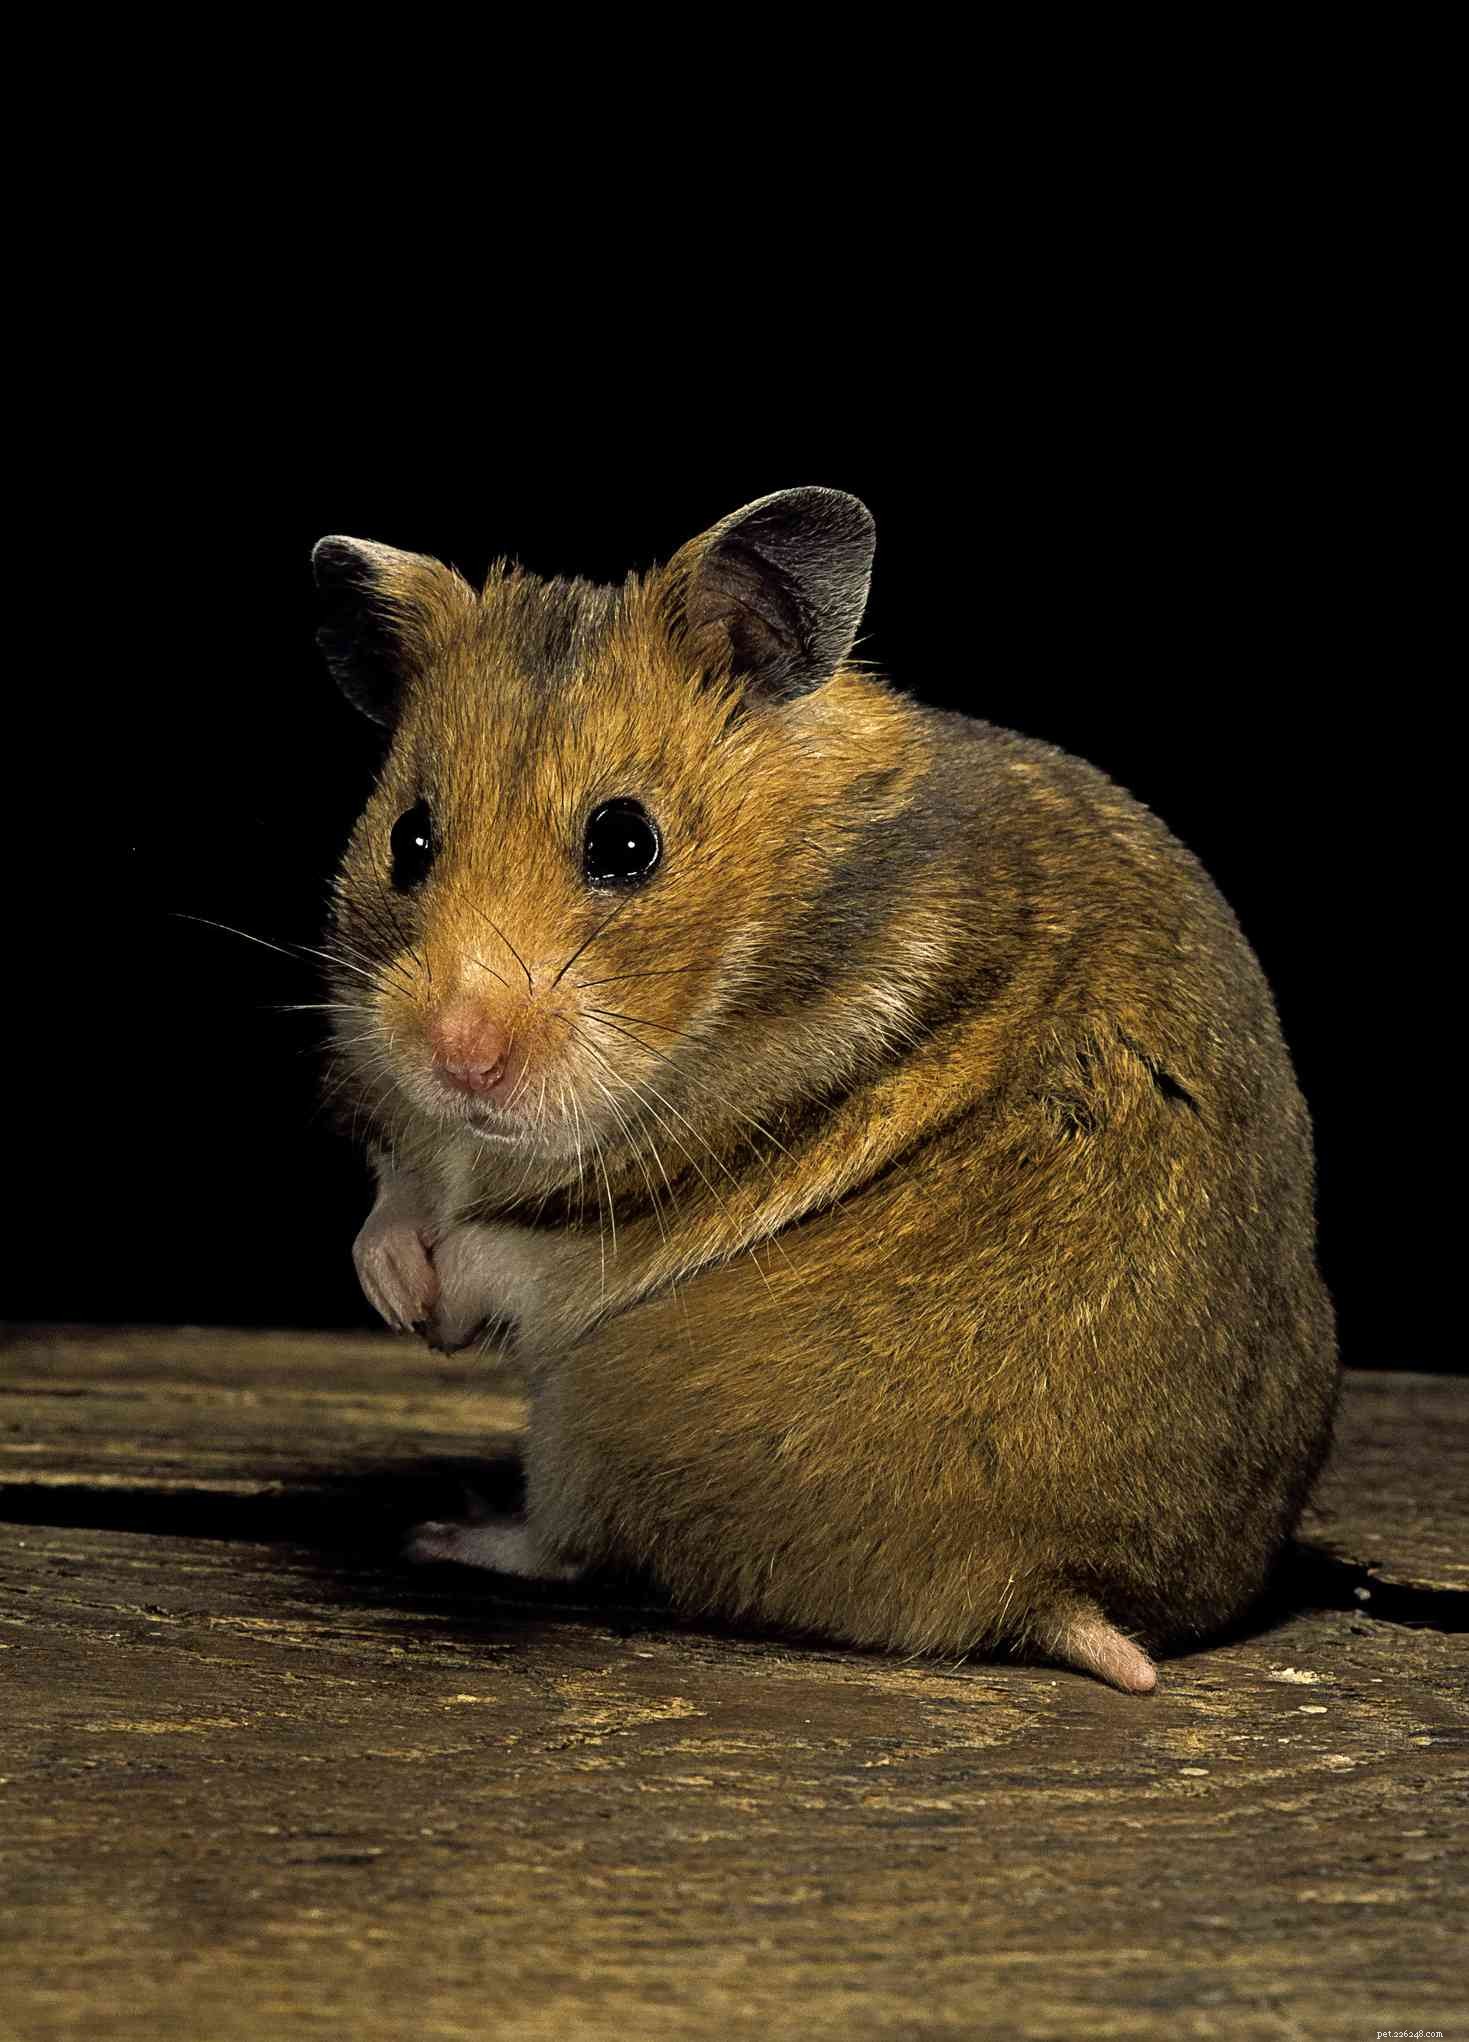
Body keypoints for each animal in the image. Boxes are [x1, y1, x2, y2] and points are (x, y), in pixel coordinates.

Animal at [311, 487, 1339, 1694]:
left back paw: (452, 1529)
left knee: (573, 1543)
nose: (457, 1056)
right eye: (409, 838)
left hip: (590, 1412)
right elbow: (404, 1186)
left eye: (625, 840)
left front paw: (428, 1301)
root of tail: (1048, 1584)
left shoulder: (686, 1177)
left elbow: (517, 1248)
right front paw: (389, 1280)